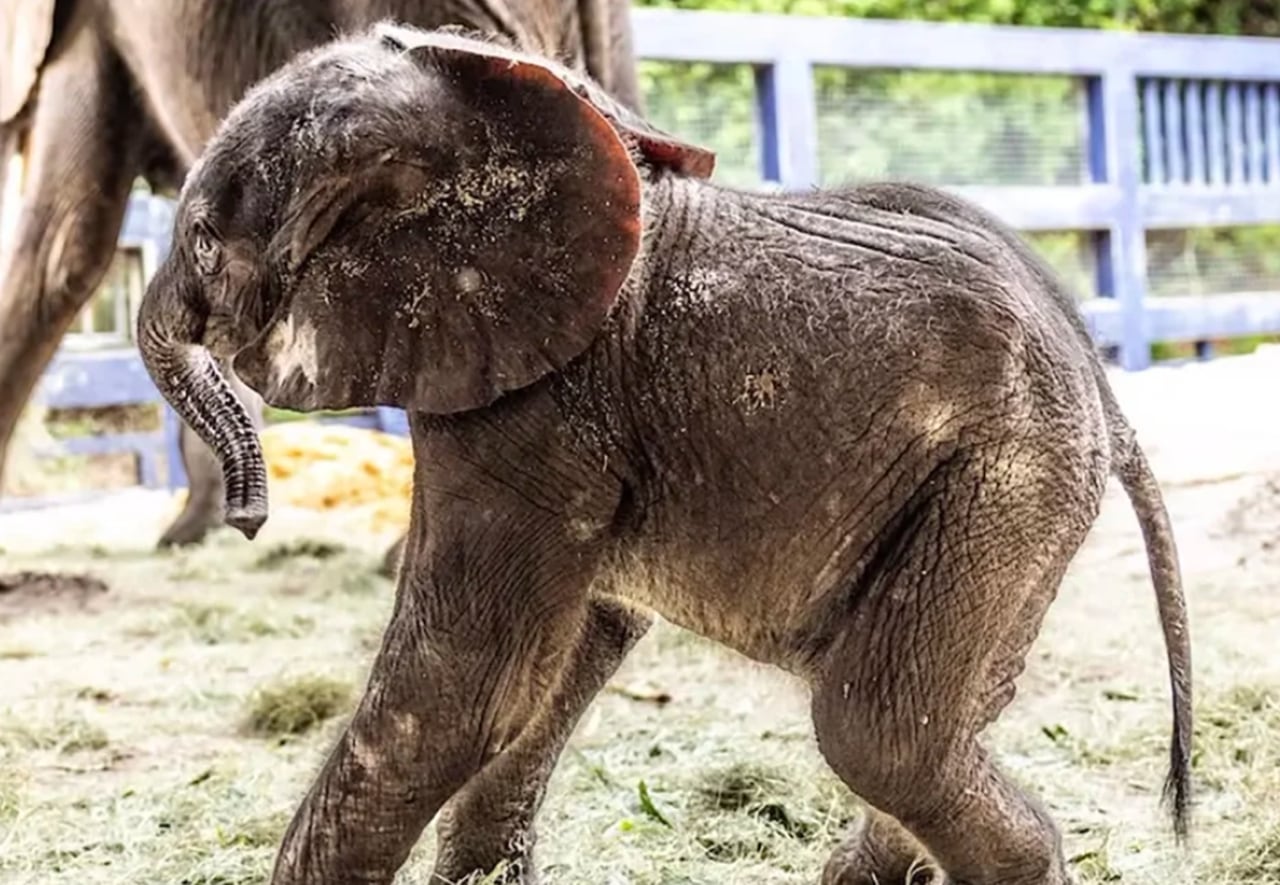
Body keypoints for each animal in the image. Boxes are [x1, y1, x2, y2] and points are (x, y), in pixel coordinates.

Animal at [137, 19, 1187, 885]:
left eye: (204, 238)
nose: (246, 519)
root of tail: (1102, 385)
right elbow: (565, 654)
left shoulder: (540, 400)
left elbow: (469, 682)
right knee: (954, 707)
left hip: (1004, 471)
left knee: (877, 729)